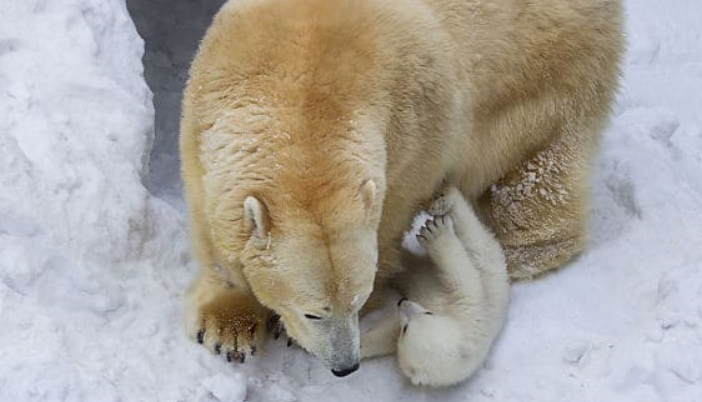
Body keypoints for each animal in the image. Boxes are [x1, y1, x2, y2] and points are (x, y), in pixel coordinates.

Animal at [364, 188, 506, 386]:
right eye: (428, 313)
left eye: (406, 329)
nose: (402, 301)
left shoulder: (471, 312)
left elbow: (465, 281)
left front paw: (435, 233)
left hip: (486, 259)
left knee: (471, 235)